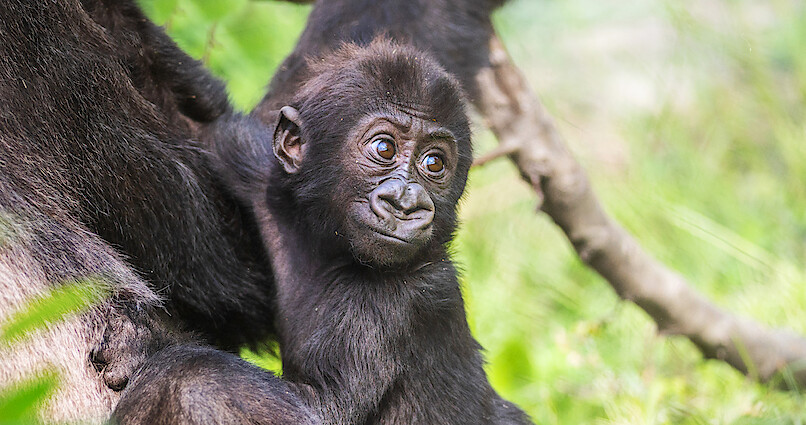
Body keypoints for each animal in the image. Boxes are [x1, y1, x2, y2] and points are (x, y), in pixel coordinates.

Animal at [113, 40, 532, 424]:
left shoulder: (401, 300)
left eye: (434, 163)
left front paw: (155, 345)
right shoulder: (257, 170)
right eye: (384, 148)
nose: (406, 202)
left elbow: (319, 409)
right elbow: (201, 120)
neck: (327, 247)